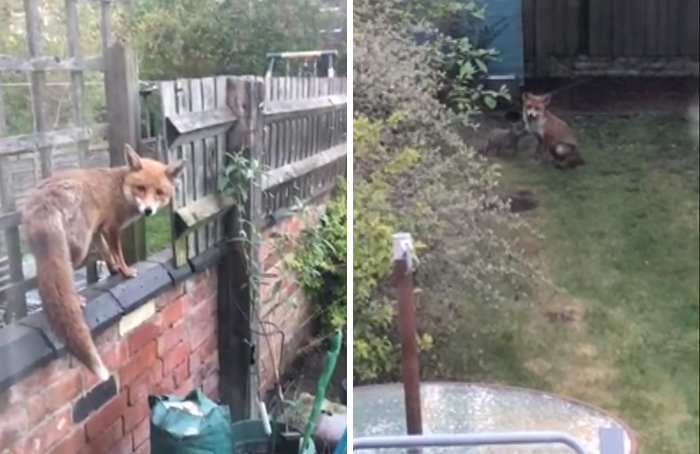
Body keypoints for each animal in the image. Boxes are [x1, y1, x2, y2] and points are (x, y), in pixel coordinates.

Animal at [21, 145, 185, 380]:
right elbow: (118, 254)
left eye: (159, 192)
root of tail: (44, 201)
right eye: (141, 188)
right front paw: (126, 271)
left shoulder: (98, 231)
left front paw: (113, 270)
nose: (148, 211)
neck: (120, 187)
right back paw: (76, 298)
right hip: (78, 249)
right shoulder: (112, 228)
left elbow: (107, 254)